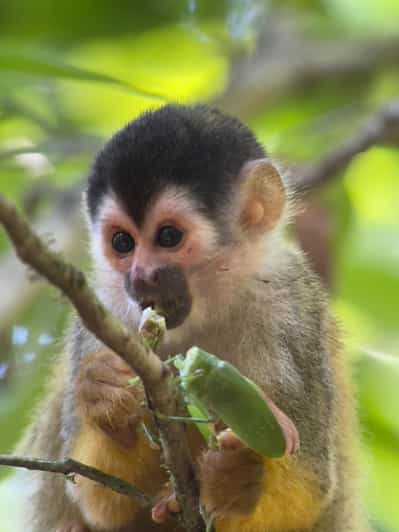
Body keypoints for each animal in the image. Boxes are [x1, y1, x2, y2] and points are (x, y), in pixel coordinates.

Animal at [18, 105, 368, 532]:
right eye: (122, 243)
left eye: (168, 236)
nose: (141, 277)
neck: (208, 307)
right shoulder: (102, 314)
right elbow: (98, 499)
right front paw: (105, 396)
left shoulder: (293, 312)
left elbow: (310, 486)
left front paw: (238, 483)